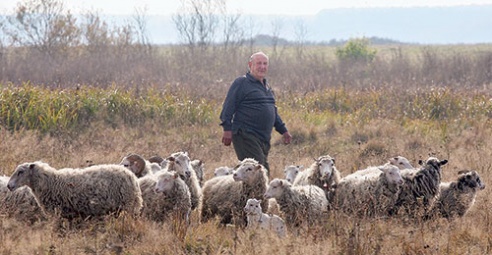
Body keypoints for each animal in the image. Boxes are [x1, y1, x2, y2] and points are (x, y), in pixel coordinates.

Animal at [7, 161, 143, 219]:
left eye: (21, 172)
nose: (9, 185)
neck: (52, 182)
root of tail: (132, 176)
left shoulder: (62, 213)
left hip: (129, 206)